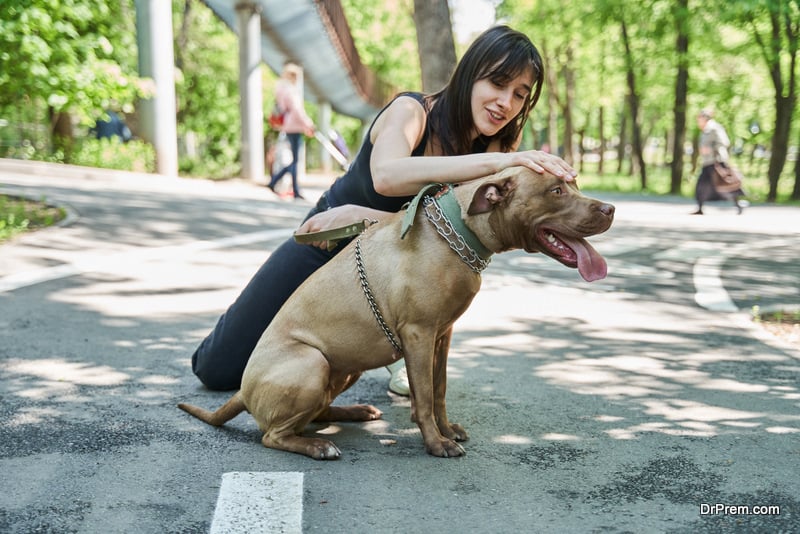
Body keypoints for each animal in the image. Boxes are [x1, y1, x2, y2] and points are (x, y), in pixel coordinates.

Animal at [180, 168, 612, 460]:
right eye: (556, 190)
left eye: (572, 184)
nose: (610, 207)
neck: (457, 232)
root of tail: (243, 389)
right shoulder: (419, 334)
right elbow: (423, 396)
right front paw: (436, 443)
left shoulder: (442, 335)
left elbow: (438, 390)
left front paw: (447, 429)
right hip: (311, 362)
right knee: (273, 434)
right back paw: (318, 446)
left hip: (344, 367)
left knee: (315, 410)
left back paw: (354, 411)